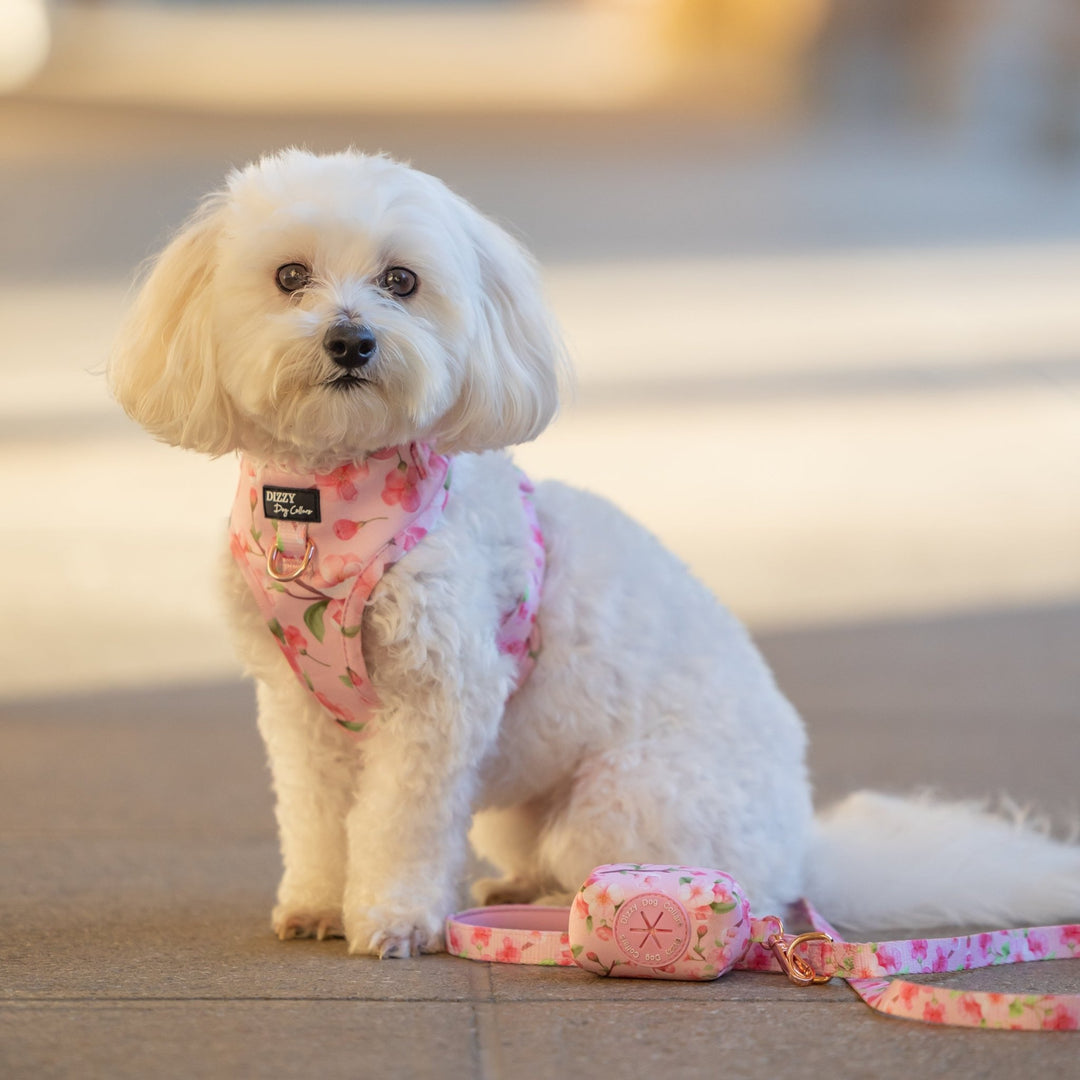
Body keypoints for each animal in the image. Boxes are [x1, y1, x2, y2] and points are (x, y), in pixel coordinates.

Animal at [109, 147, 1080, 959]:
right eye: (289, 277)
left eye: (401, 281)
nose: (352, 339)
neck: (327, 510)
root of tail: (807, 849)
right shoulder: (296, 704)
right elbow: (315, 815)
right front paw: (316, 901)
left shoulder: (437, 698)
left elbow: (399, 821)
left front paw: (393, 916)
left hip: (622, 801)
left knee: (670, 879)